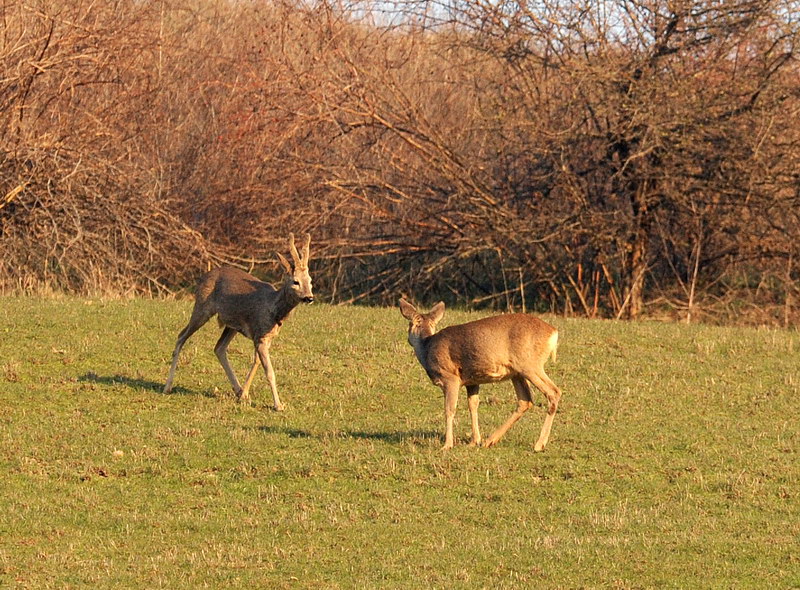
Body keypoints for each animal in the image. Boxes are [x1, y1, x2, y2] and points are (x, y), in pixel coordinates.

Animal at [162, 234, 312, 410]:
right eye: (295, 281)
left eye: (310, 280)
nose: (309, 297)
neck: (274, 310)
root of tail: (202, 277)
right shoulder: (260, 335)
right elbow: (269, 371)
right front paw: (278, 405)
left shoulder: (265, 338)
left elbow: (256, 362)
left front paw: (244, 394)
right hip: (202, 308)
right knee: (181, 336)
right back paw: (167, 386)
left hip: (231, 324)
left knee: (219, 348)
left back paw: (237, 389)